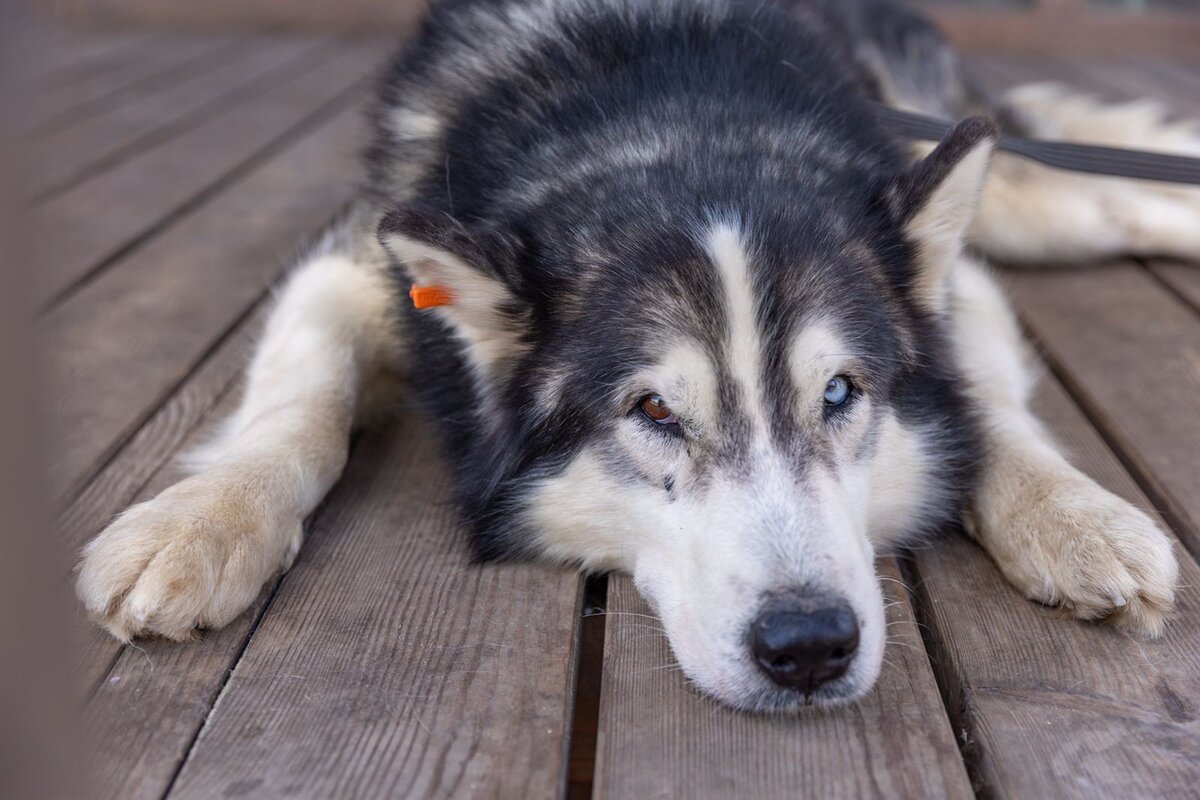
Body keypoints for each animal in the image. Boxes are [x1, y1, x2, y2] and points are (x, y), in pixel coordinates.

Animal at [77, 0, 1190, 714]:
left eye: (841, 392)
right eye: (654, 412)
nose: (808, 648)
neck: (671, 116)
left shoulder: (957, 288)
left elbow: (990, 410)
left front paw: (1074, 516)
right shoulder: (353, 259)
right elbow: (297, 401)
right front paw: (199, 523)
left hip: (1023, 200)